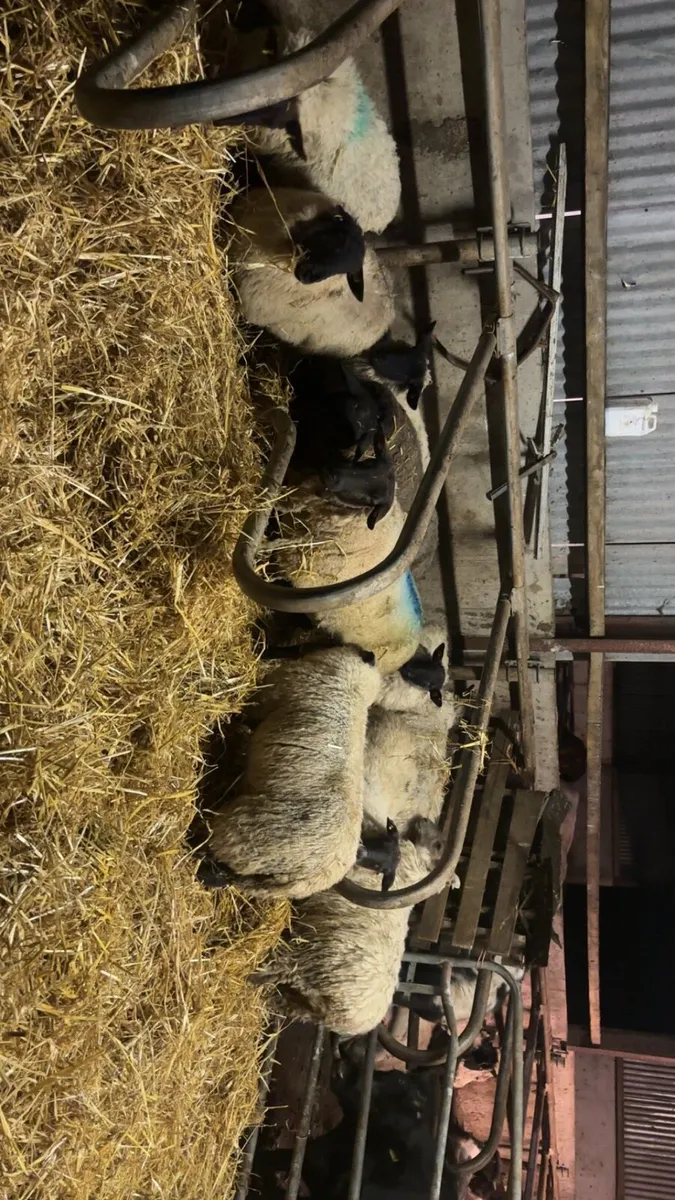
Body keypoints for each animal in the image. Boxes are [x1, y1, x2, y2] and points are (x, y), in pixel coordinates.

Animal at [199, 645, 382, 899]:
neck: (357, 690)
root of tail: (308, 878)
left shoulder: (271, 695)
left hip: (244, 837)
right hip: (261, 883)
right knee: (229, 878)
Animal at [254, 818, 442, 1036]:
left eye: (438, 844)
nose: (424, 820)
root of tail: (344, 1017)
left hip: (310, 961)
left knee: (276, 967)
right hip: (305, 1004)